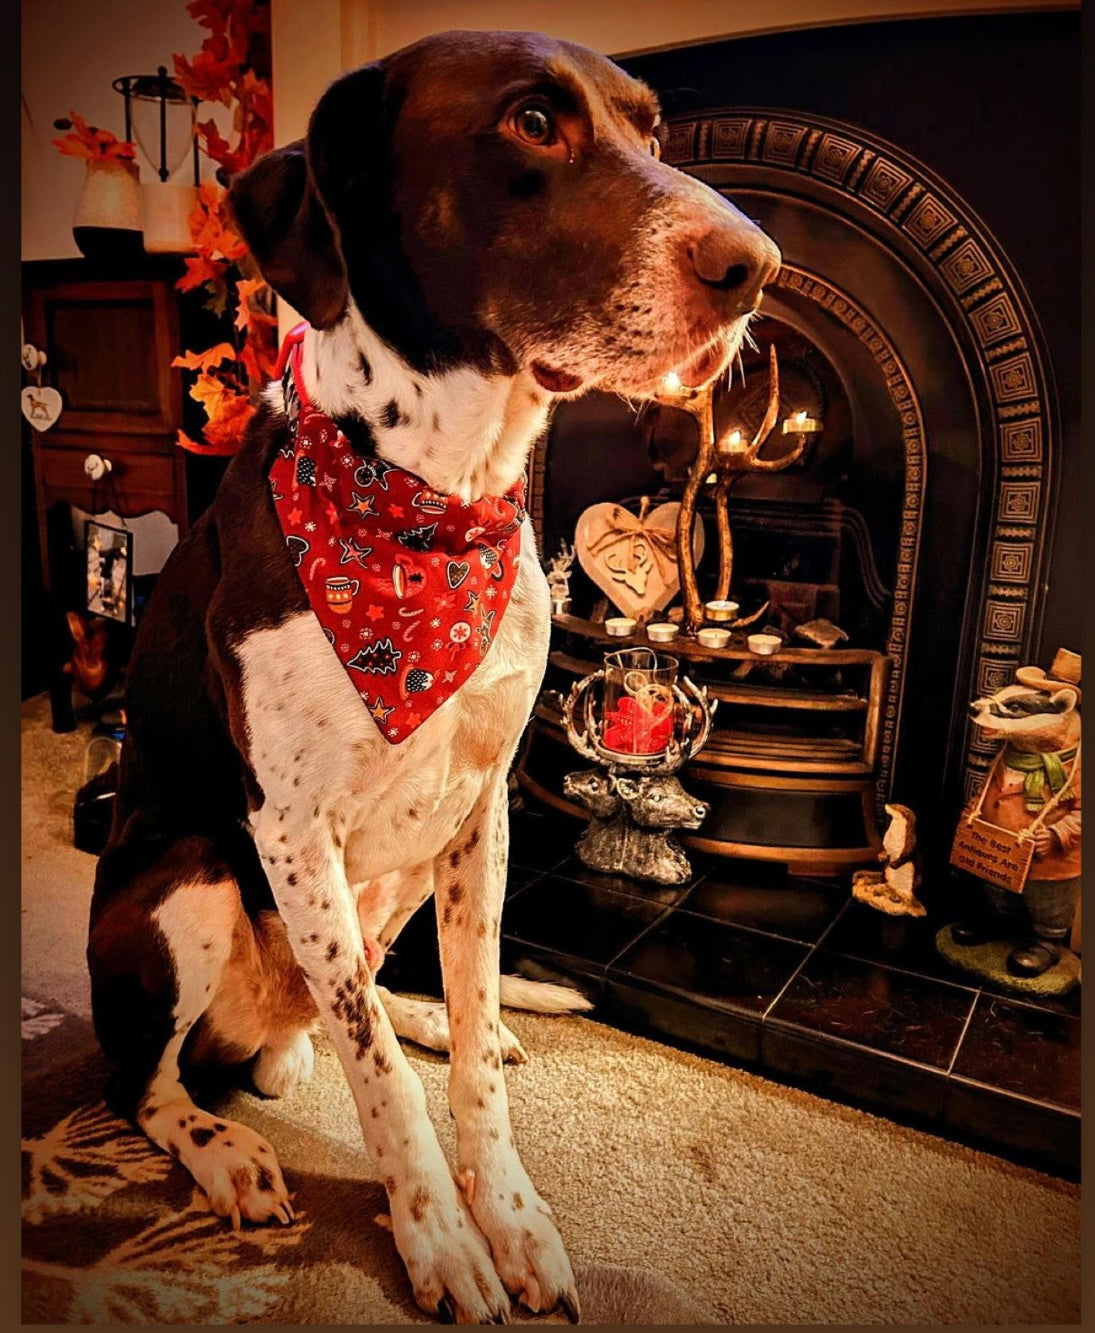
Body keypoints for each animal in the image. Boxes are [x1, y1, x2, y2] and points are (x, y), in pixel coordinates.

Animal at [90, 28, 784, 1322]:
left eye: (654, 129)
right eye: (531, 122)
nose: (758, 266)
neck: (437, 501)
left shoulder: (479, 809)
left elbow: (465, 1045)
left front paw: (505, 1212)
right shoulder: (291, 829)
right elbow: (381, 1082)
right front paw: (437, 1237)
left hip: (400, 873)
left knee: (364, 996)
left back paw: (419, 1018)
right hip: (187, 881)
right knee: (147, 1080)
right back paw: (227, 1153)